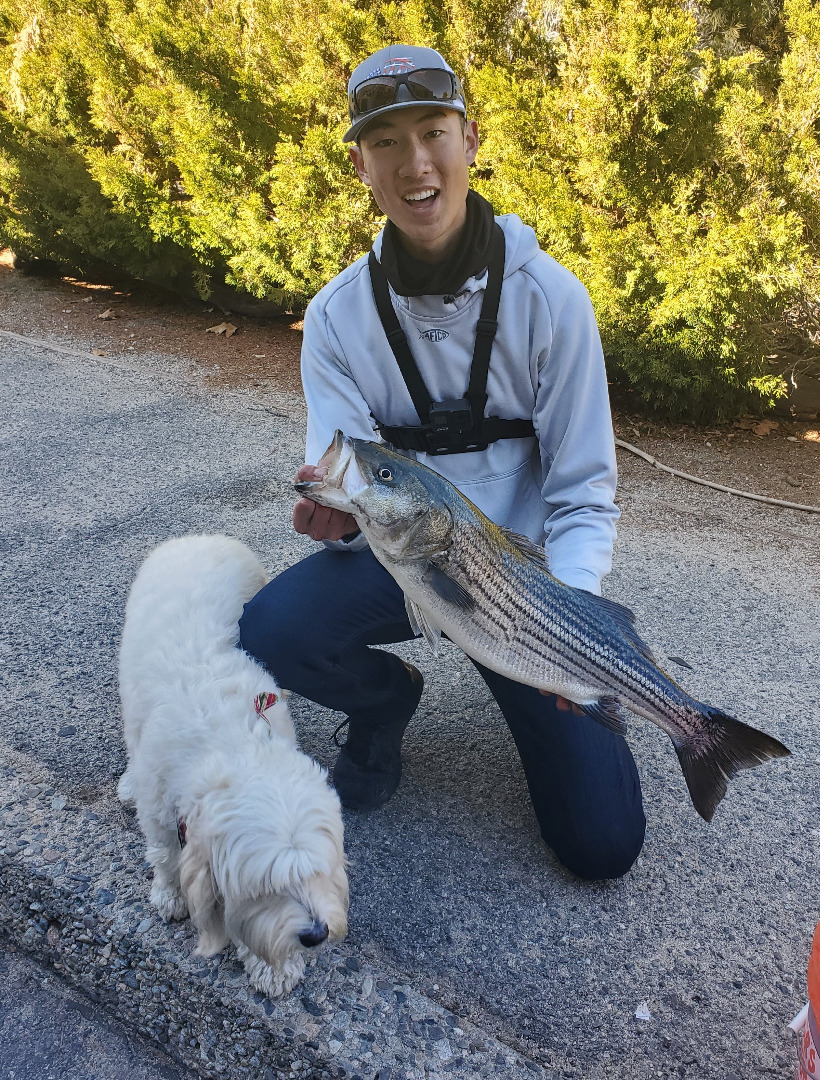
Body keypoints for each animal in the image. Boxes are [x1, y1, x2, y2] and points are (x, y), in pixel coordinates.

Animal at [117, 531, 347, 993]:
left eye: (316, 871)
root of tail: (197, 537)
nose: (316, 935)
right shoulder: (159, 804)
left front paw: (272, 966)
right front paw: (170, 893)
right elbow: (165, 853)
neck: (234, 745)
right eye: (264, 888)